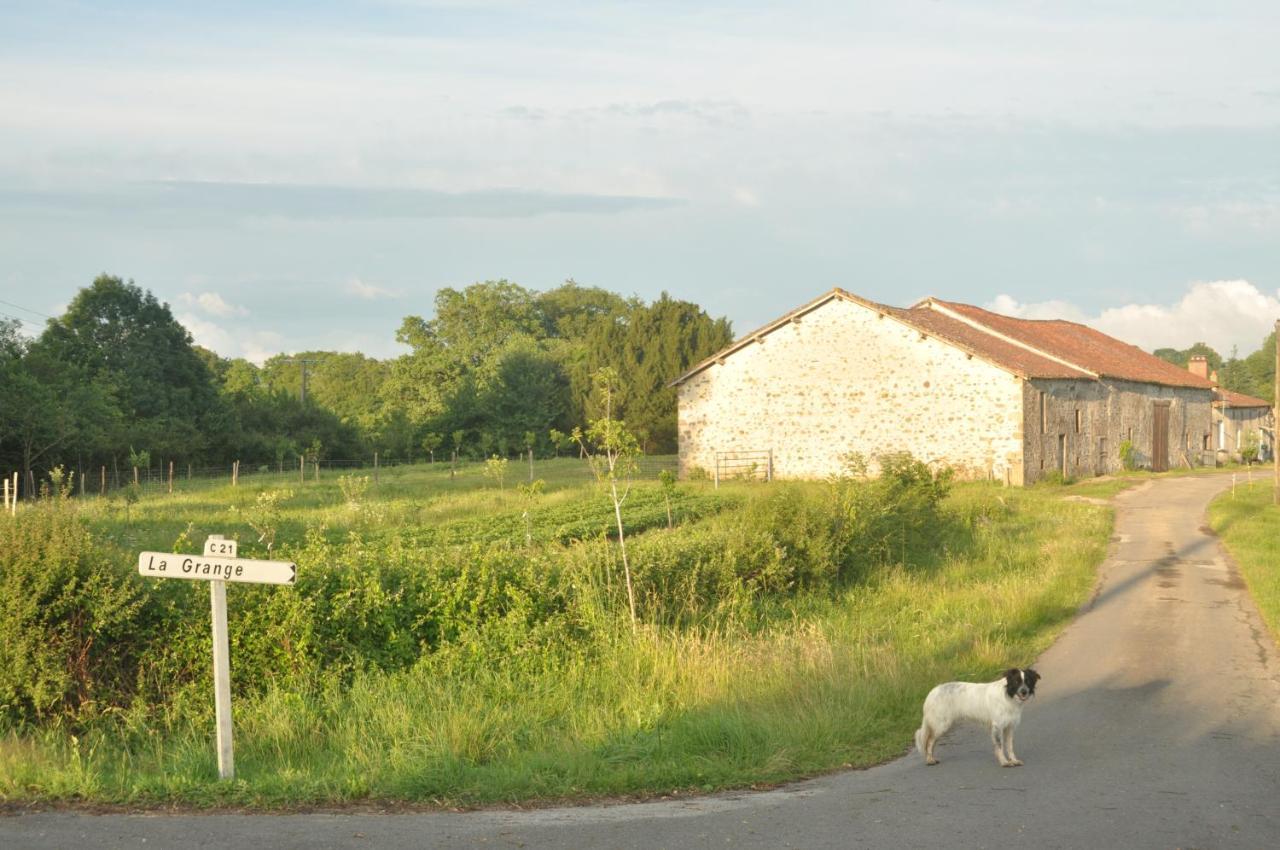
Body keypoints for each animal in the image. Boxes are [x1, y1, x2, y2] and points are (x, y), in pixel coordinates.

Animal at [911, 665, 1039, 768]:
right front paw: (1005, 762)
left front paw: (1014, 760)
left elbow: (1010, 746)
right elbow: (1000, 746)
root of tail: (932, 692)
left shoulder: (1009, 727)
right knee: (929, 742)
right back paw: (930, 760)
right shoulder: (997, 727)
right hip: (941, 725)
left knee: (931, 742)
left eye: (1028, 682)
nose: (1024, 692)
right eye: (1016, 682)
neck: (1008, 696)